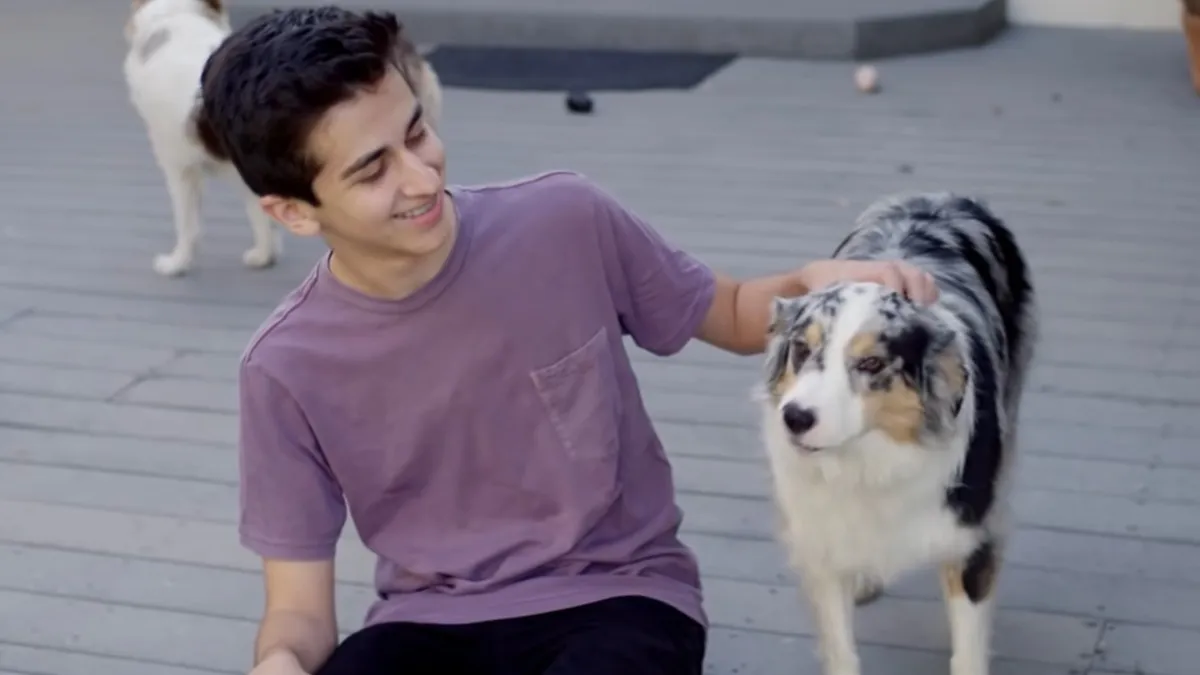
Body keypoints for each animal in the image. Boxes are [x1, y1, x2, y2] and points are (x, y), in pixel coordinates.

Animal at [121, 0, 444, 275]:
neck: (176, 22)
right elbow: (260, 217)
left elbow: (188, 225)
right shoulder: (253, 172)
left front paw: (176, 263)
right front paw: (265, 255)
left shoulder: (179, 168)